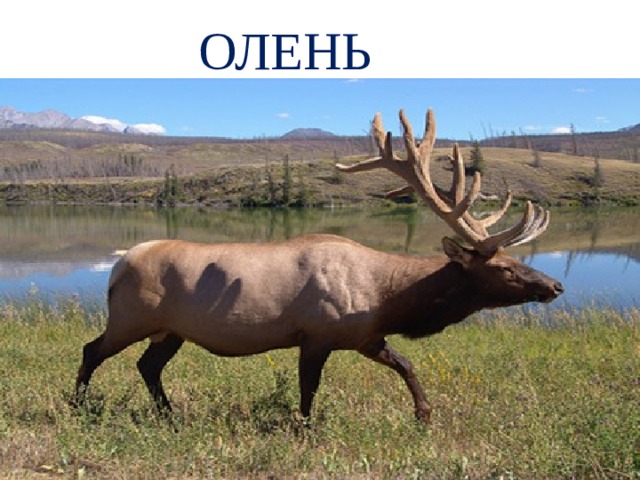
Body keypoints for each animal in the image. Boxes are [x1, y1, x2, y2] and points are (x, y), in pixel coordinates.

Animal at [71, 108, 563, 423]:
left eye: (517, 261)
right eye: (505, 269)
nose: (555, 285)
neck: (387, 297)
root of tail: (118, 265)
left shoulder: (366, 337)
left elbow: (406, 365)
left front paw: (424, 414)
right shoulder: (317, 334)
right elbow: (309, 389)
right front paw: (304, 427)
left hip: (171, 330)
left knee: (148, 367)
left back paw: (169, 412)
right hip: (130, 317)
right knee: (92, 350)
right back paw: (78, 405)